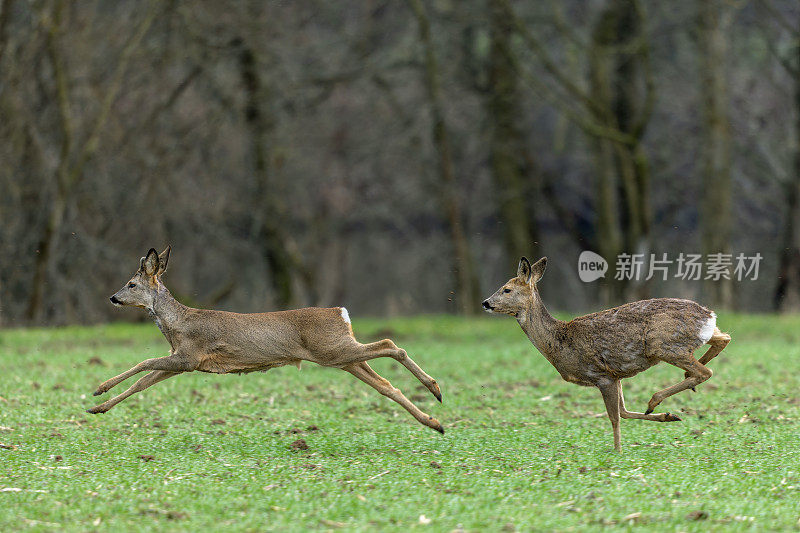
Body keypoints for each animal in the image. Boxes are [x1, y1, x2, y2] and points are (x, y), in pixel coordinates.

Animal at [92, 247, 450, 434]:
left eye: (131, 284)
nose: (112, 297)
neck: (176, 322)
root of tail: (341, 313)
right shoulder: (183, 360)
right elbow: (143, 382)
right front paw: (99, 406)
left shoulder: (189, 356)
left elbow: (144, 362)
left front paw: (98, 389)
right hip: (343, 358)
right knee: (386, 384)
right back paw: (434, 421)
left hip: (334, 349)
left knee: (390, 344)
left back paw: (435, 389)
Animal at [482, 256, 732, 448]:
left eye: (506, 289)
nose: (485, 302)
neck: (559, 341)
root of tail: (708, 314)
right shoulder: (616, 375)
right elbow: (623, 411)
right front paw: (669, 417)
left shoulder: (601, 375)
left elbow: (615, 417)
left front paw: (617, 451)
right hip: (690, 339)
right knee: (724, 339)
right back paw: (675, 389)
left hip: (664, 345)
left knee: (705, 372)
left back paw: (655, 399)